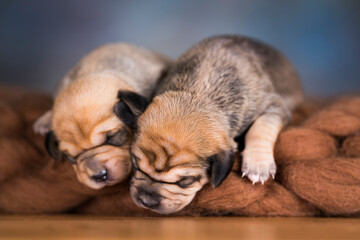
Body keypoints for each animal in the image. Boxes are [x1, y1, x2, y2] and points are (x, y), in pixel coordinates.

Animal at [129, 34, 304, 213]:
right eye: (135, 163)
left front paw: (258, 163)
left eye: (186, 181)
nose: (146, 201)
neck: (198, 93)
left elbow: (262, 126)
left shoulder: (274, 105)